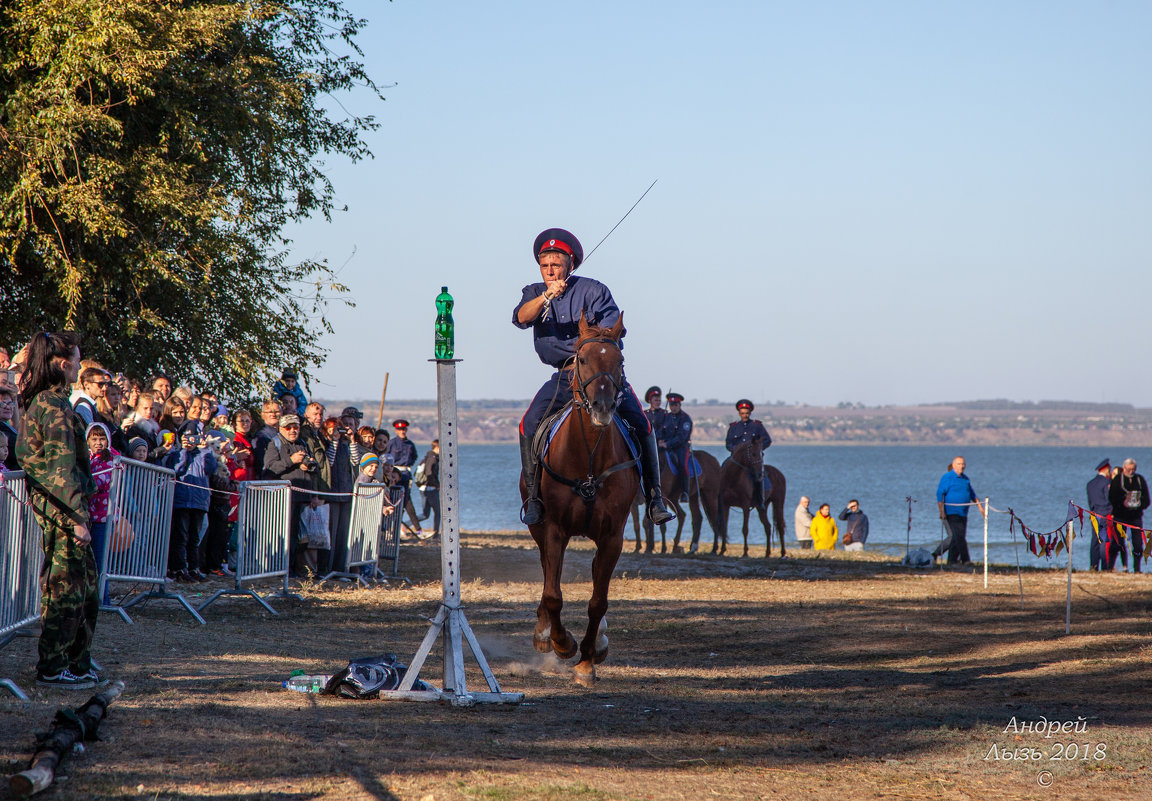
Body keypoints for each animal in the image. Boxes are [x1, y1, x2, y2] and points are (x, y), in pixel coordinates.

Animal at [523, 311, 640, 682]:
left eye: (619, 360)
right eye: (583, 359)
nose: (603, 407)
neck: (588, 457)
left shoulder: (612, 536)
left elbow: (597, 601)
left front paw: (587, 659)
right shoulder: (554, 530)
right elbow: (553, 594)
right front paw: (561, 643)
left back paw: (597, 640)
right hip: (539, 528)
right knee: (548, 573)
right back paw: (544, 633)